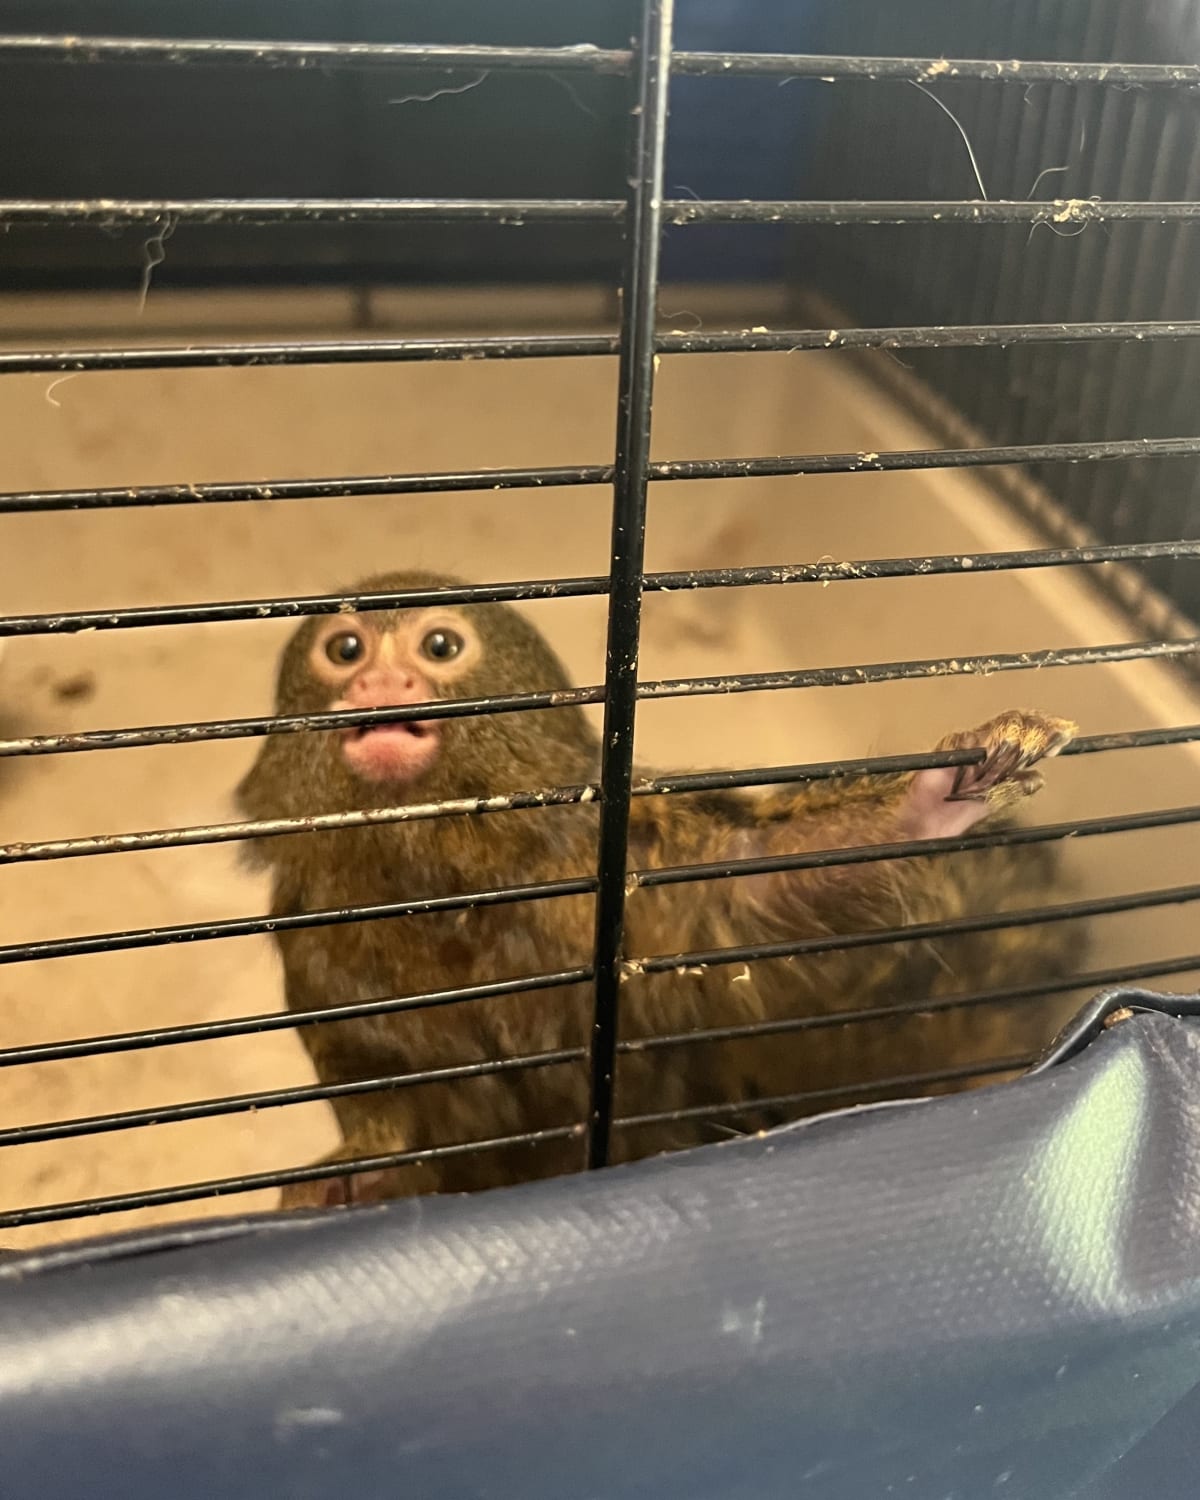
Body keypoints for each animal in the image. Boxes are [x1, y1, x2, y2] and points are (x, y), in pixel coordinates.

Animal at [235, 571, 1087, 1210]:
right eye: (345, 649)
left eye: (439, 646)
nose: (382, 682)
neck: (445, 883)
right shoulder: (316, 946)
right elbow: (383, 1095)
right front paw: (360, 1175)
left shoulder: (636, 871)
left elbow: (756, 885)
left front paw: (939, 794)